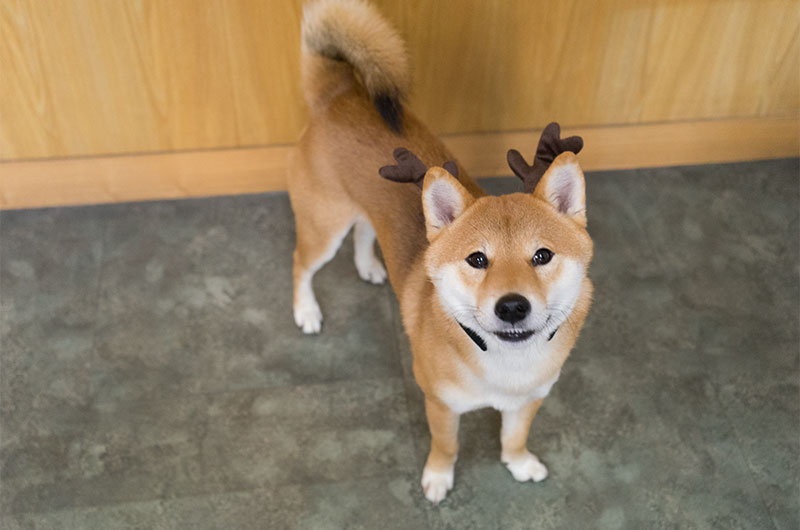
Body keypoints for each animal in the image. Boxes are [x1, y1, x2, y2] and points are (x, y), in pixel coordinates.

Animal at [290, 0, 592, 502]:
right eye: (477, 260)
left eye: (542, 256)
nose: (512, 306)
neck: (504, 367)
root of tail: (338, 95)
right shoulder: (440, 402)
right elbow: (446, 446)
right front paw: (437, 478)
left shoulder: (529, 399)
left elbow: (514, 436)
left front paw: (518, 463)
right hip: (322, 229)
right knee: (301, 266)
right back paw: (306, 311)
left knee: (365, 231)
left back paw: (369, 266)